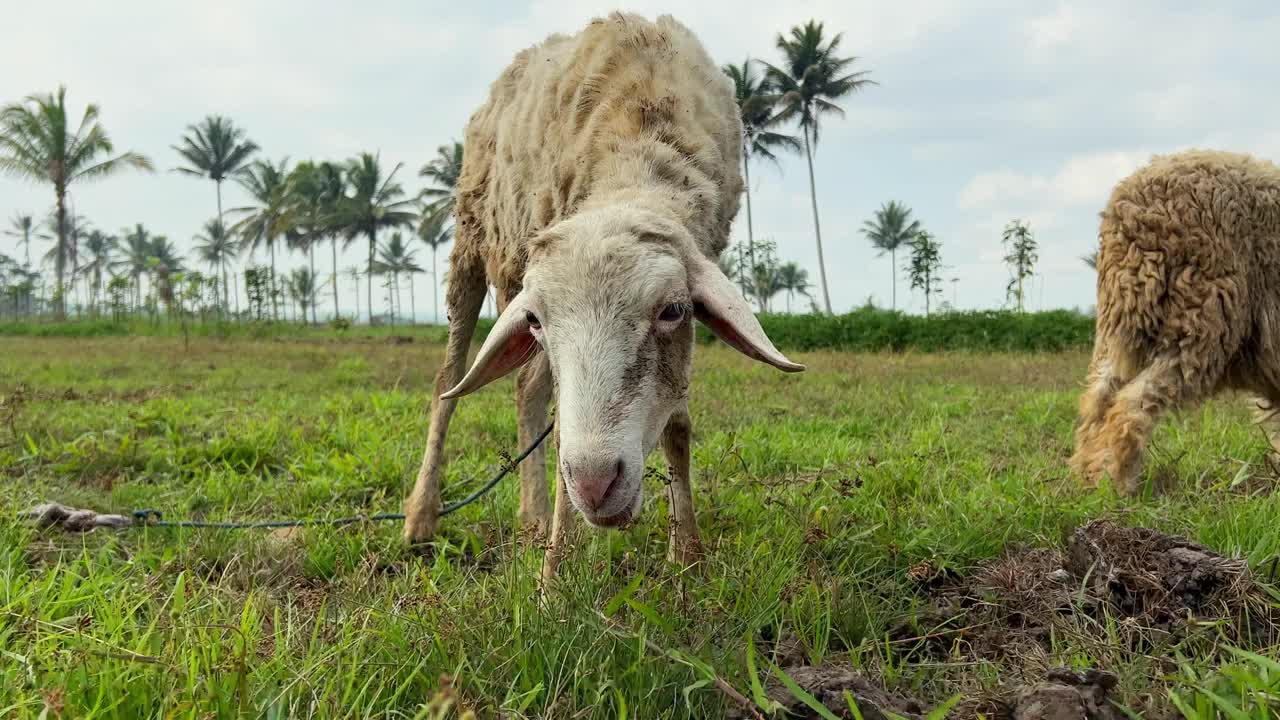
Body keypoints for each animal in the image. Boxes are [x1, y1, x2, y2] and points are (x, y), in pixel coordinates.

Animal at [401, 11, 798, 573]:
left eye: (673, 309)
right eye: (537, 320)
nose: (594, 483)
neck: (639, 147)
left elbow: (677, 427)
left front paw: (687, 555)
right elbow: (561, 433)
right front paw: (554, 575)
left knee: (526, 390)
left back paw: (533, 521)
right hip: (474, 245)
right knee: (448, 382)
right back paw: (422, 518)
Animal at [1070, 146, 1280, 491]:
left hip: (1122, 323)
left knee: (1098, 402)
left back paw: (1088, 480)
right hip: (1199, 321)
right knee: (1131, 406)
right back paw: (1118, 485)